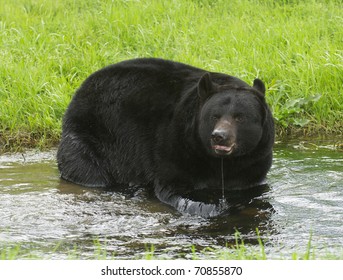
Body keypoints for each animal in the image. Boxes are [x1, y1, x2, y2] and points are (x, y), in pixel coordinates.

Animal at [57, 58, 276, 217]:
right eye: (215, 116)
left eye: (240, 117)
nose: (219, 137)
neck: (219, 161)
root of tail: (80, 90)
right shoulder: (174, 144)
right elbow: (171, 186)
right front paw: (209, 206)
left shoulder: (253, 159)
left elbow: (250, 186)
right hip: (90, 135)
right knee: (87, 169)